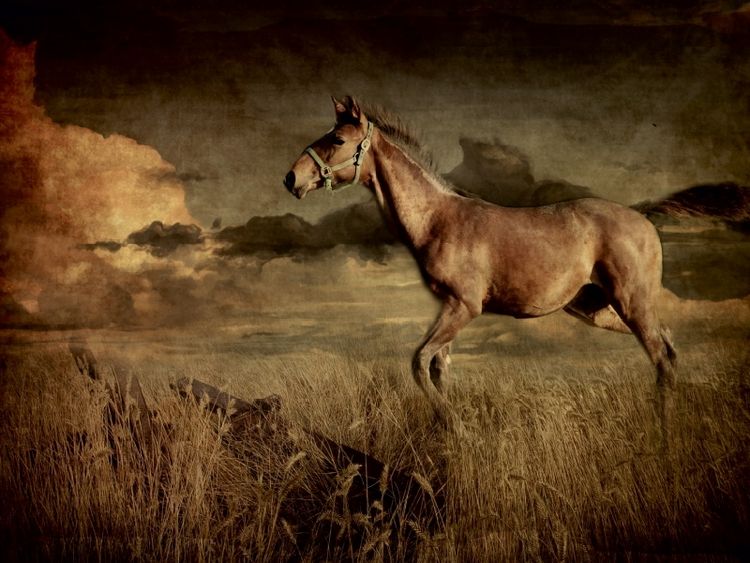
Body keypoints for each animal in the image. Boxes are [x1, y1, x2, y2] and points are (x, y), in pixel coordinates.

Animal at [283, 96, 677, 444]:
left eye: (337, 139)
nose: (291, 179)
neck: (437, 219)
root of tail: (644, 220)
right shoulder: (449, 308)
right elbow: (439, 368)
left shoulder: (464, 306)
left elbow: (420, 362)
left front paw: (458, 429)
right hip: (596, 308)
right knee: (668, 345)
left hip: (629, 303)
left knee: (660, 359)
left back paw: (664, 436)